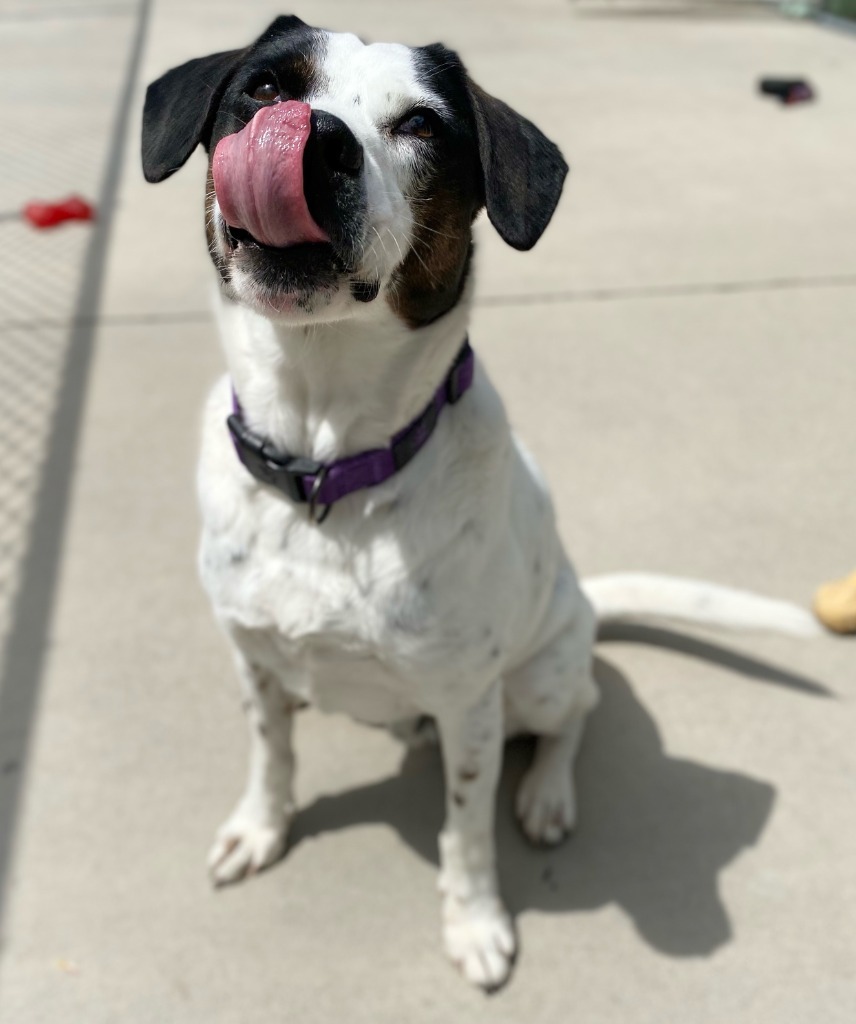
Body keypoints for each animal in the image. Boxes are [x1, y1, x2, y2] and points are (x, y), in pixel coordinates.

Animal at [142, 18, 815, 991]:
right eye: (265, 88)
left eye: (422, 125)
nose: (313, 140)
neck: (329, 470)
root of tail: (583, 597)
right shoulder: (253, 658)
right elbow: (271, 752)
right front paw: (260, 828)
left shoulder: (468, 706)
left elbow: (464, 829)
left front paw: (475, 922)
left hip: (536, 679)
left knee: (577, 712)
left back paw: (546, 793)